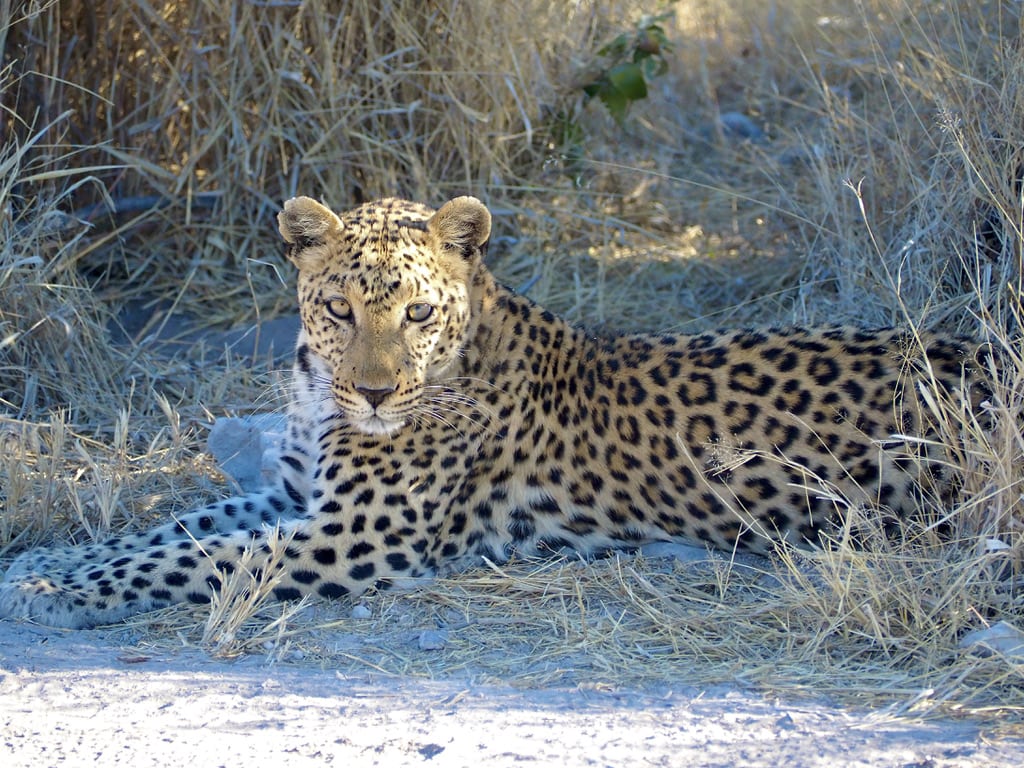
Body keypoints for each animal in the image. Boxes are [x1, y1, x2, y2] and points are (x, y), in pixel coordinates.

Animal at [0, 195, 983, 626]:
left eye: (417, 313)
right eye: (340, 309)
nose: (376, 392)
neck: (321, 393)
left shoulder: (354, 536)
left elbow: (196, 559)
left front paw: (48, 591)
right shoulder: (295, 495)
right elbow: (170, 529)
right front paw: (46, 560)